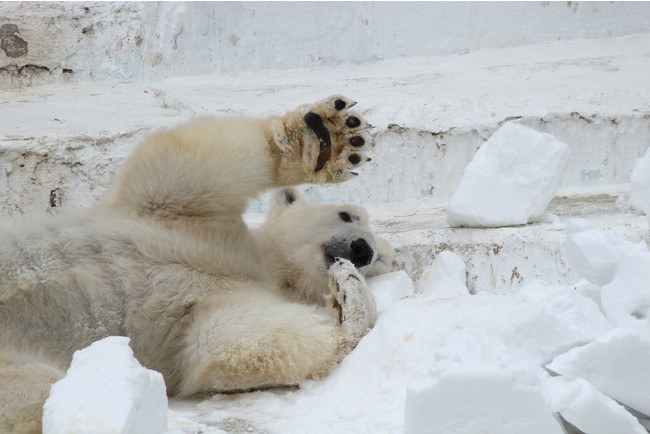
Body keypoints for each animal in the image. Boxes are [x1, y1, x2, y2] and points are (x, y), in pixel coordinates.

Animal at [0, 96, 390, 434]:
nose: (363, 250)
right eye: (347, 214)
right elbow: (190, 163)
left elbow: (233, 343)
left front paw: (347, 297)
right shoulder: (184, 219)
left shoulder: (210, 307)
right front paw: (327, 137)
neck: (257, 264)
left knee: (37, 392)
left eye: (381, 259)